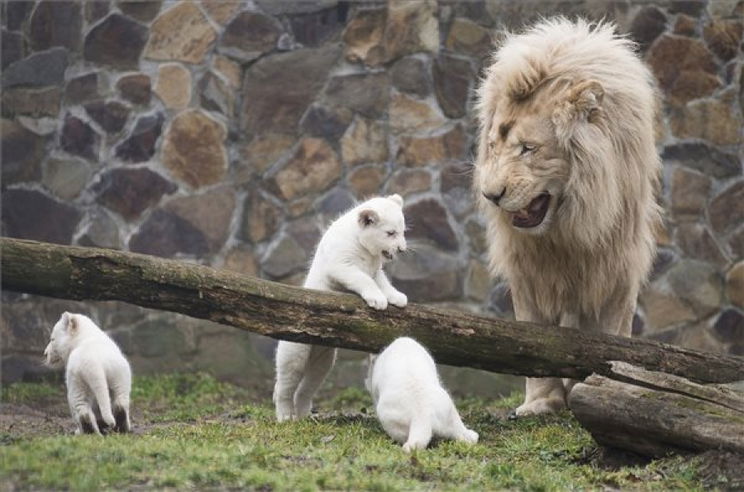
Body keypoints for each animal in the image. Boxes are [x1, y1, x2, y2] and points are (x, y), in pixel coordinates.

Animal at [474, 18, 660, 416]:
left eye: (528, 149)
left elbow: (608, 336)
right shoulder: (528, 269)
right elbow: (532, 336)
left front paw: (601, 388)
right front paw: (542, 403)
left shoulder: (615, 264)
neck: (568, 226)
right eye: (493, 147)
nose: (491, 195)